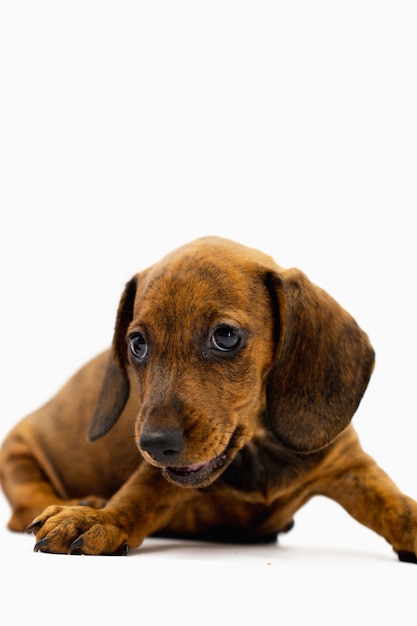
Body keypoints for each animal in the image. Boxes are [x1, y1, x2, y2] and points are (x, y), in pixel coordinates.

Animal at [0, 236, 416, 560]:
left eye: (226, 336)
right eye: (137, 343)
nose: (155, 444)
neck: (257, 447)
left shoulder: (352, 467)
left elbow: (397, 506)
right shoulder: (163, 476)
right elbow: (137, 496)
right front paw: (102, 519)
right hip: (16, 451)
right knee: (23, 506)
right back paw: (87, 504)